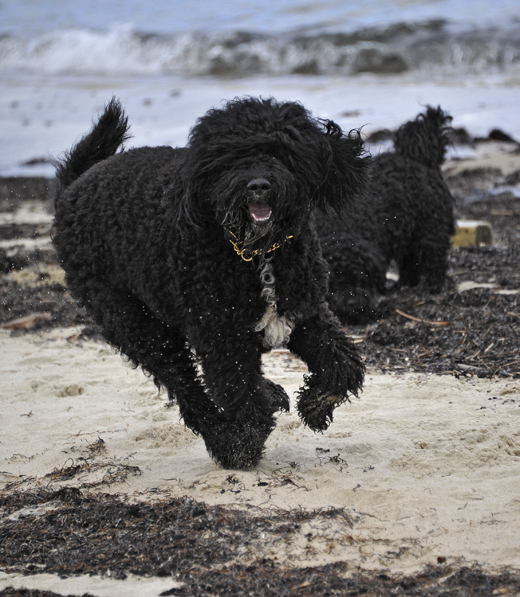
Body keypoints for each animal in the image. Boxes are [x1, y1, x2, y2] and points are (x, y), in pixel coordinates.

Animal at [51, 96, 370, 470]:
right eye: (231, 158)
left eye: (279, 151)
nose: (258, 185)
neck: (257, 254)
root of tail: (73, 188)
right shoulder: (221, 335)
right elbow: (242, 396)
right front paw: (243, 445)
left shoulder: (305, 312)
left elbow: (342, 363)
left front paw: (316, 404)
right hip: (135, 323)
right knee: (186, 388)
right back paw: (222, 439)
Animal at [318, 105, 458, 324]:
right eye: (336, 280)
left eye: (363, 278)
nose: (353, 304)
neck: (339, 229)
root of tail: (420, 159)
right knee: (411, 262)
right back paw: (404, 285)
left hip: (431, 228)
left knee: (435, 259)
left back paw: (433, 286)